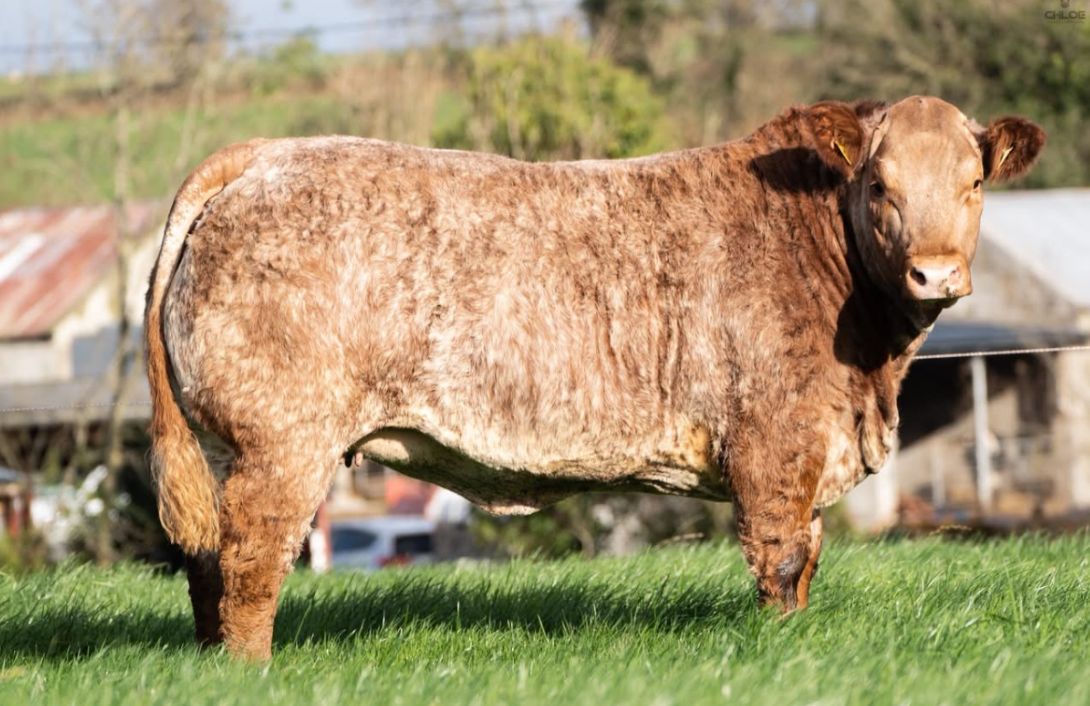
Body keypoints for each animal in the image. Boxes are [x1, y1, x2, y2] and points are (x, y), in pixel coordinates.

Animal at [144, 95, 1044, 660]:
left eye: (973, 183)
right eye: (880, 186)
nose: (936, 273)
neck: (870, 373)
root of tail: (264, 155)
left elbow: (811, 558)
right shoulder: (774, 443)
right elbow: (784, 562)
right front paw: (784, 648)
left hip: (228, 445)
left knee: (207, 562)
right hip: (283, 441)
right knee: (252, 560)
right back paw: (250, 670)